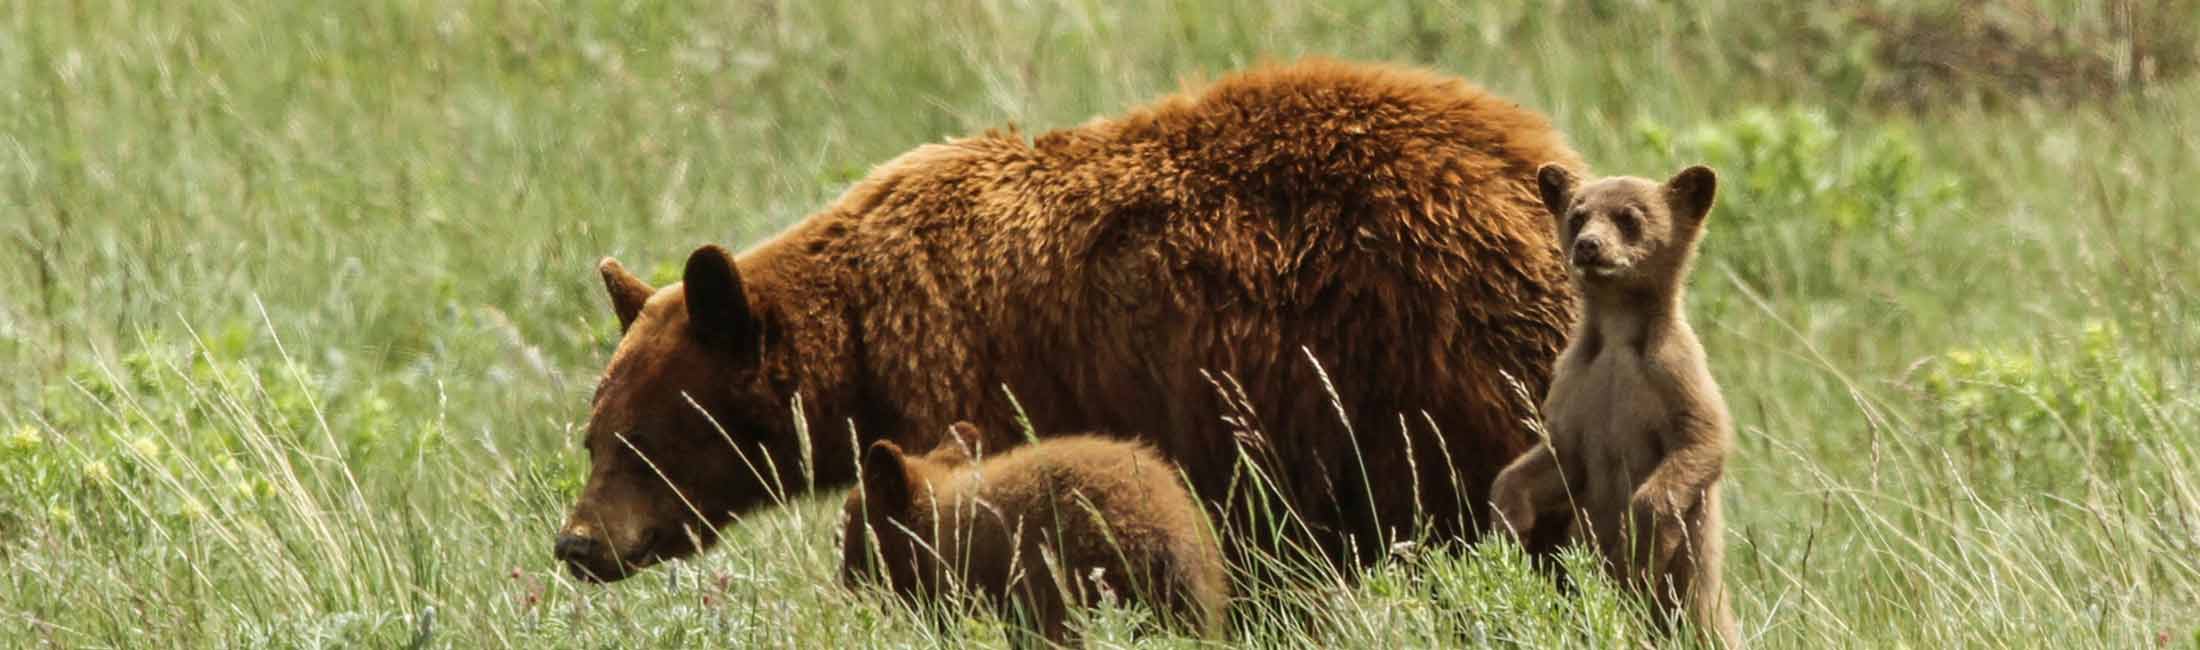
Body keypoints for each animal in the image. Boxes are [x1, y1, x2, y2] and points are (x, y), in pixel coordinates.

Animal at [554, 58, 1582, 582]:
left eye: (644, 442)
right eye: (594, 436)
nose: (578, 544)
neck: (863, 347)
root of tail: (1535, 164)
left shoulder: (973, 381)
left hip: (1428, 355)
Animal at [1489, 163, 1739, 647]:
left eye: (1629, 217)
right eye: (1577, 216)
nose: (1588, 246)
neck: (1618, 336)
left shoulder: (1678, 374)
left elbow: (1703, 442)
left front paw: (1638, 544)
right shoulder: (1574, 384)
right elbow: (1555, 459)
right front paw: (1508, 524)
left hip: (1698, 593)